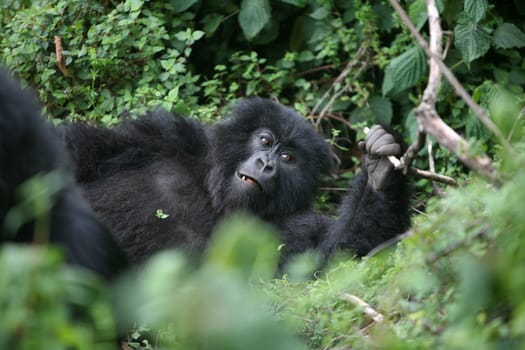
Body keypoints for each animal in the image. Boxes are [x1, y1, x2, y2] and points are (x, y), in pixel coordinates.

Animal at [62, 97, 410, 264]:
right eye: (265, 140)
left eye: (288, 158)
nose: (266, 164)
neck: (215, 199)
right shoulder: (164, 137)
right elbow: (80, 149)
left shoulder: (297, 225)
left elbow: (334, 257)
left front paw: (380, 174)